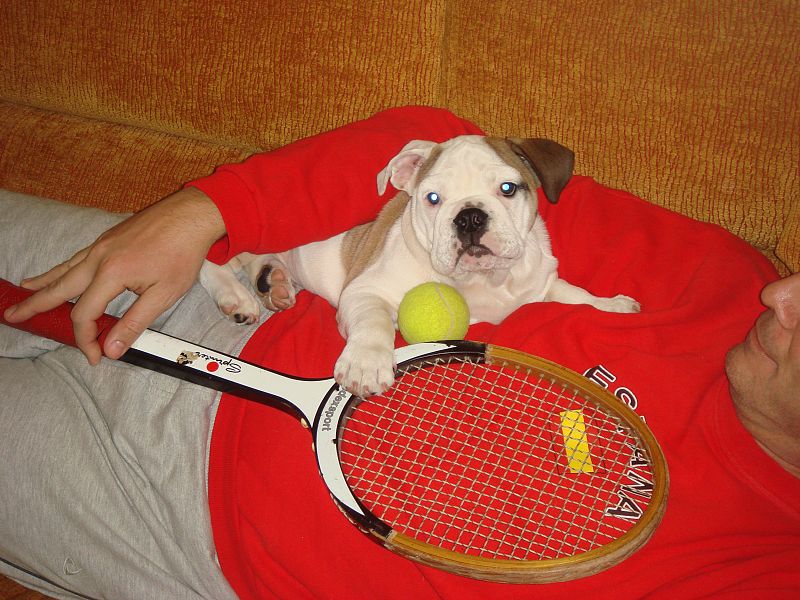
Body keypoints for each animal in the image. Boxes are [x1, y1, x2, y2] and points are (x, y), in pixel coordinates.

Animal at [200, 137, 636, 398]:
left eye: (508, 189)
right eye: (433, 198)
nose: (470, 217)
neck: (484, 280)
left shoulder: (541, 284)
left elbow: (576, 296)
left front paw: (612, 306)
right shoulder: (366, 291)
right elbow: (374, 321)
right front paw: (367, 361)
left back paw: (274, 283)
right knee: (212, 261)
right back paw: (236, 297)